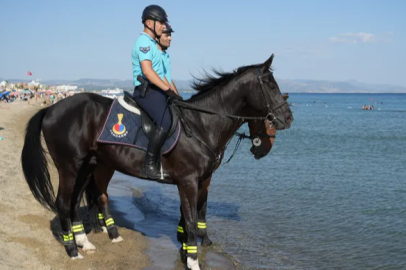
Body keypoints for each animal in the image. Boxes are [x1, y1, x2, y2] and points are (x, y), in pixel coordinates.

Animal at [21, 53, 292, 268]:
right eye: (270, 85)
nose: (288, 118)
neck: (201, 124)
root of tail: (51, 108)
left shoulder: (200, 180)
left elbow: (192, 215)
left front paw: (187, 251)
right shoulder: (188, 181)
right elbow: (191, 220)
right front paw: (193, 261)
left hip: (89, 165)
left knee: (78, 200)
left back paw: (85, 242)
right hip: (69, 166)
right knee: (63, 202)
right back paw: (72, 250)